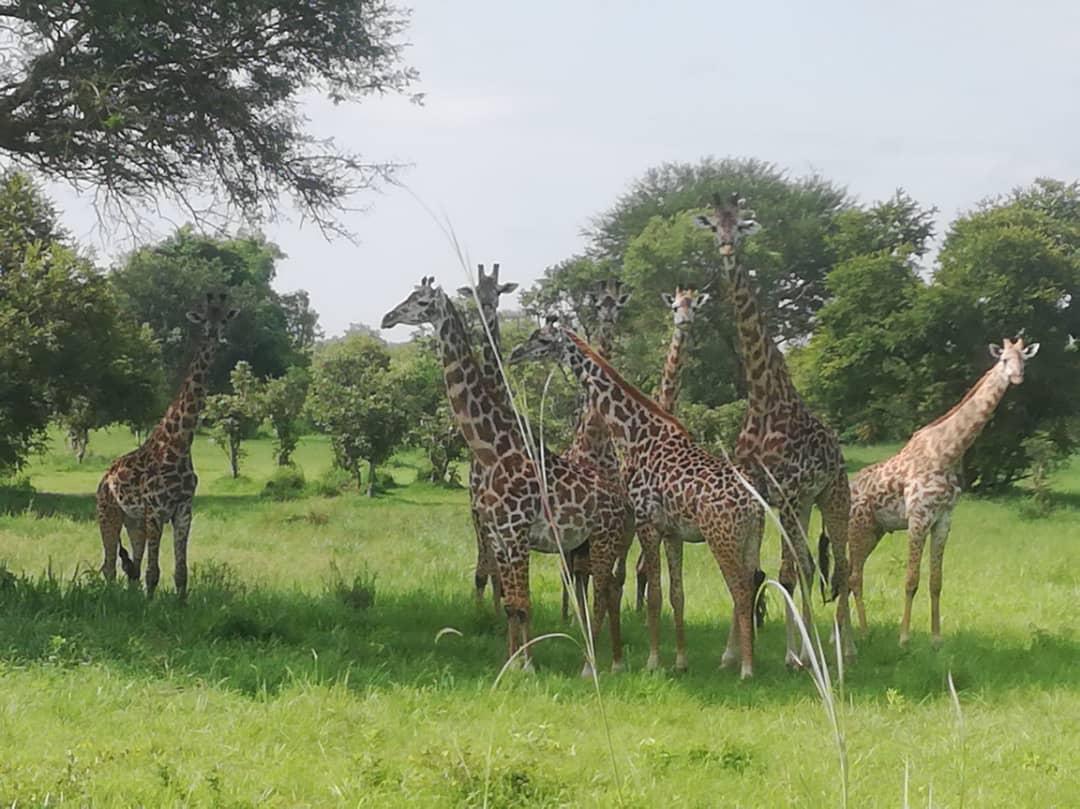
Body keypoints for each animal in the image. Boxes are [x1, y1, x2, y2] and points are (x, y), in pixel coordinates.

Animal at [97, 292, 238, 600]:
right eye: (204, 317)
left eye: (224, 318)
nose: (213, 333)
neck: (179, 443)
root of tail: (105, 477)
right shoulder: (157, 511)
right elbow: (153, 572)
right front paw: (150, 606)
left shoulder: (183, 511)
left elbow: (180, 572)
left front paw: (179, 605)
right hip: (108, 513)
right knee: (109, 565)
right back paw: (111, 599)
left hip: (134, 521)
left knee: (131, 567)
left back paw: (128, 598)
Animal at [381, 278, 635, 674]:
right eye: (407, 296)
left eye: (421, 302)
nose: (387, 318)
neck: (493, 449)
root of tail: (622, 499)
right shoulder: (499, 535)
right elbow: (512, 603)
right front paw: (511, 662)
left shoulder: (516, 533)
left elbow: (523, 603)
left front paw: (527, 665)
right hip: (587, 542)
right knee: (603, 589)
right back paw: (608, 659)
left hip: (605, 537)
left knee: (604, 590)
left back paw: (596, 665)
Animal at [508, 319, 765, 677]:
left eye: (543, 340)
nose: (514, 354)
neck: (635, 434)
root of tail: (755, 506)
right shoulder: (672, 532)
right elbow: (676, 594)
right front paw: (680, 661)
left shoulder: (647, 522)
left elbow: (654, 593)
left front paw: (653, 662)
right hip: (752, 538)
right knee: (750, 583)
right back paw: (733, 657)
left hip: (722, 537)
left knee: (740, 589)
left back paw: (745, 667)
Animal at [694, 194, 856, 664]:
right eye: (714, 226)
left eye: (742, 225)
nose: (728, 248)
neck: (765, 396)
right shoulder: (761, 491)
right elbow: (753, 572)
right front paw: (731, 654)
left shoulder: (788, 491)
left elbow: (785, 571)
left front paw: (792, 655)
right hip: (801, 503)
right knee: (809, 564)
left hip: (831, 495)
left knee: (841, 563)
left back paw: (845, 645)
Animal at [848, 337, 1039, 647]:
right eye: (1003, 360)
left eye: (1024, 359)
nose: (1017, 378)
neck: (948, 452)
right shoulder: (918, 517)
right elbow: (911, 579)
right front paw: (904, 638)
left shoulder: (943, 519)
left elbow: (936, 581)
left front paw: (936, 639)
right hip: (859, 527)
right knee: (852, 576)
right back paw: (858, 633)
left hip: (875, 530)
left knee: (847, 574)